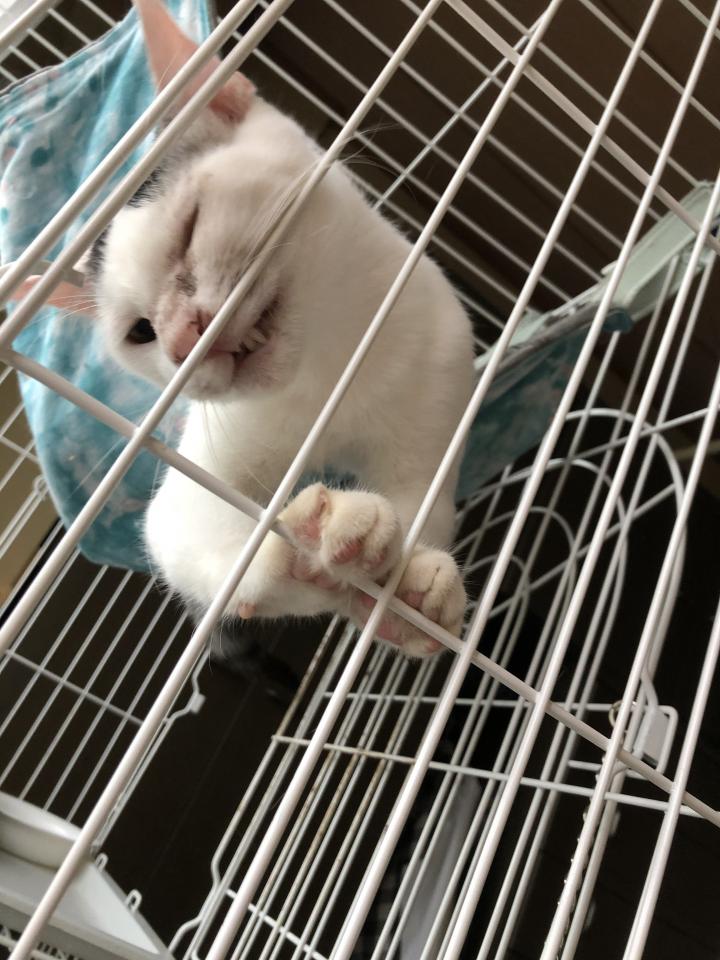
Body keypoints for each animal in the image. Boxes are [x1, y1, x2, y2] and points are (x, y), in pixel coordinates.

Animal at [87, 0, 475, 658]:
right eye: (139, 333)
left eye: (189, 227)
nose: (182, 340)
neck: (332, 370)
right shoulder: (200, 476)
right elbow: (194, 534)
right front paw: (304, 548)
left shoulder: (435, 383)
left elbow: (421, 496)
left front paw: (411, 588)